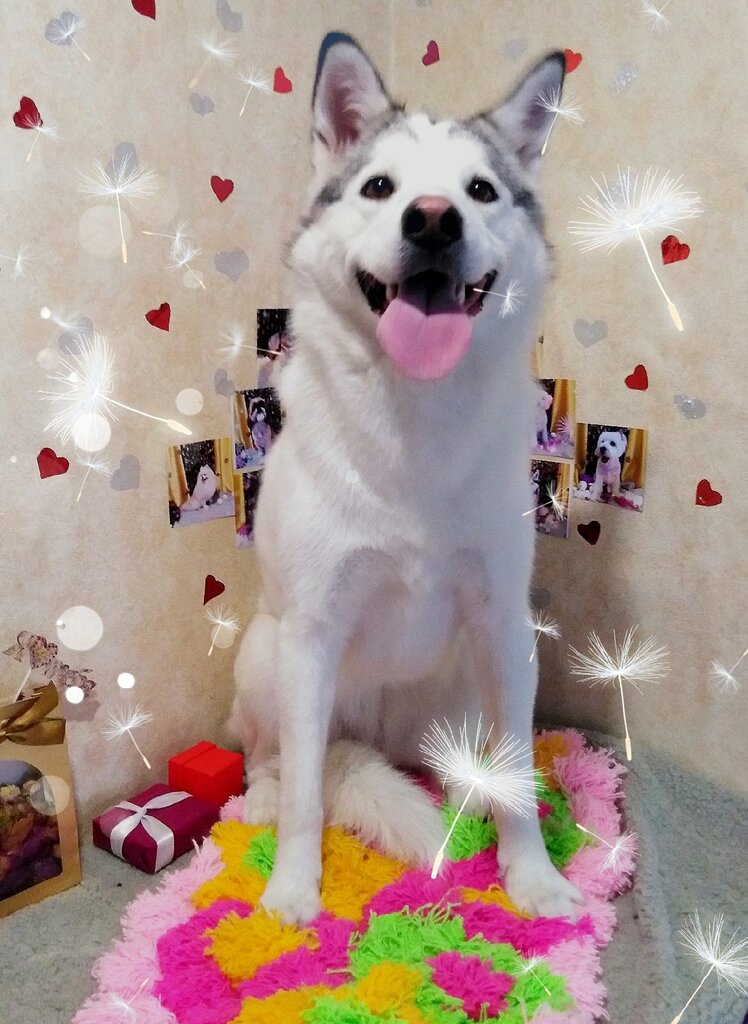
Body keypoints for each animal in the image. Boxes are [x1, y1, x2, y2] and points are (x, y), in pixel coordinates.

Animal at [231, 33, 582, 925]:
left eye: (481, 190)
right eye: (380, 187)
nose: (432, 220)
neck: (414, 409)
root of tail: (381, 742)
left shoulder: (504, 624)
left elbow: (519, 776)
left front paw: (532, 876)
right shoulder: (312, 632)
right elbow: (305, 799)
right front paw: (293, 890)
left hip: (478, 678)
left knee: (469, 759)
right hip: (267, 652)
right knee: (280, 761)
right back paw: (261, 794)